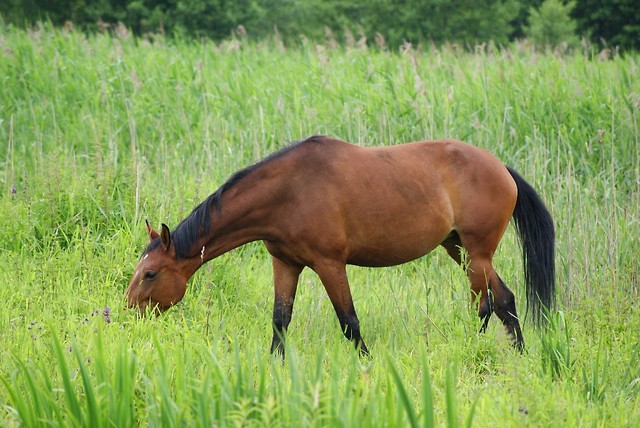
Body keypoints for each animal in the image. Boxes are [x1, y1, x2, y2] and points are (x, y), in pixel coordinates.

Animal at [126, 135, 556, 356]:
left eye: (150, 274)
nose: (128, 314)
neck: (289, 192)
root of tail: (501, 168)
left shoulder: (330, 264)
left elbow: (349, 322)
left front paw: (366, 364)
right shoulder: (285, 264)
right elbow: (280, 320)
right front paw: (274, 368)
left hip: (476, 253)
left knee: (485, 303)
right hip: (460, 250)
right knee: (503, 300)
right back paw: (513, 354)